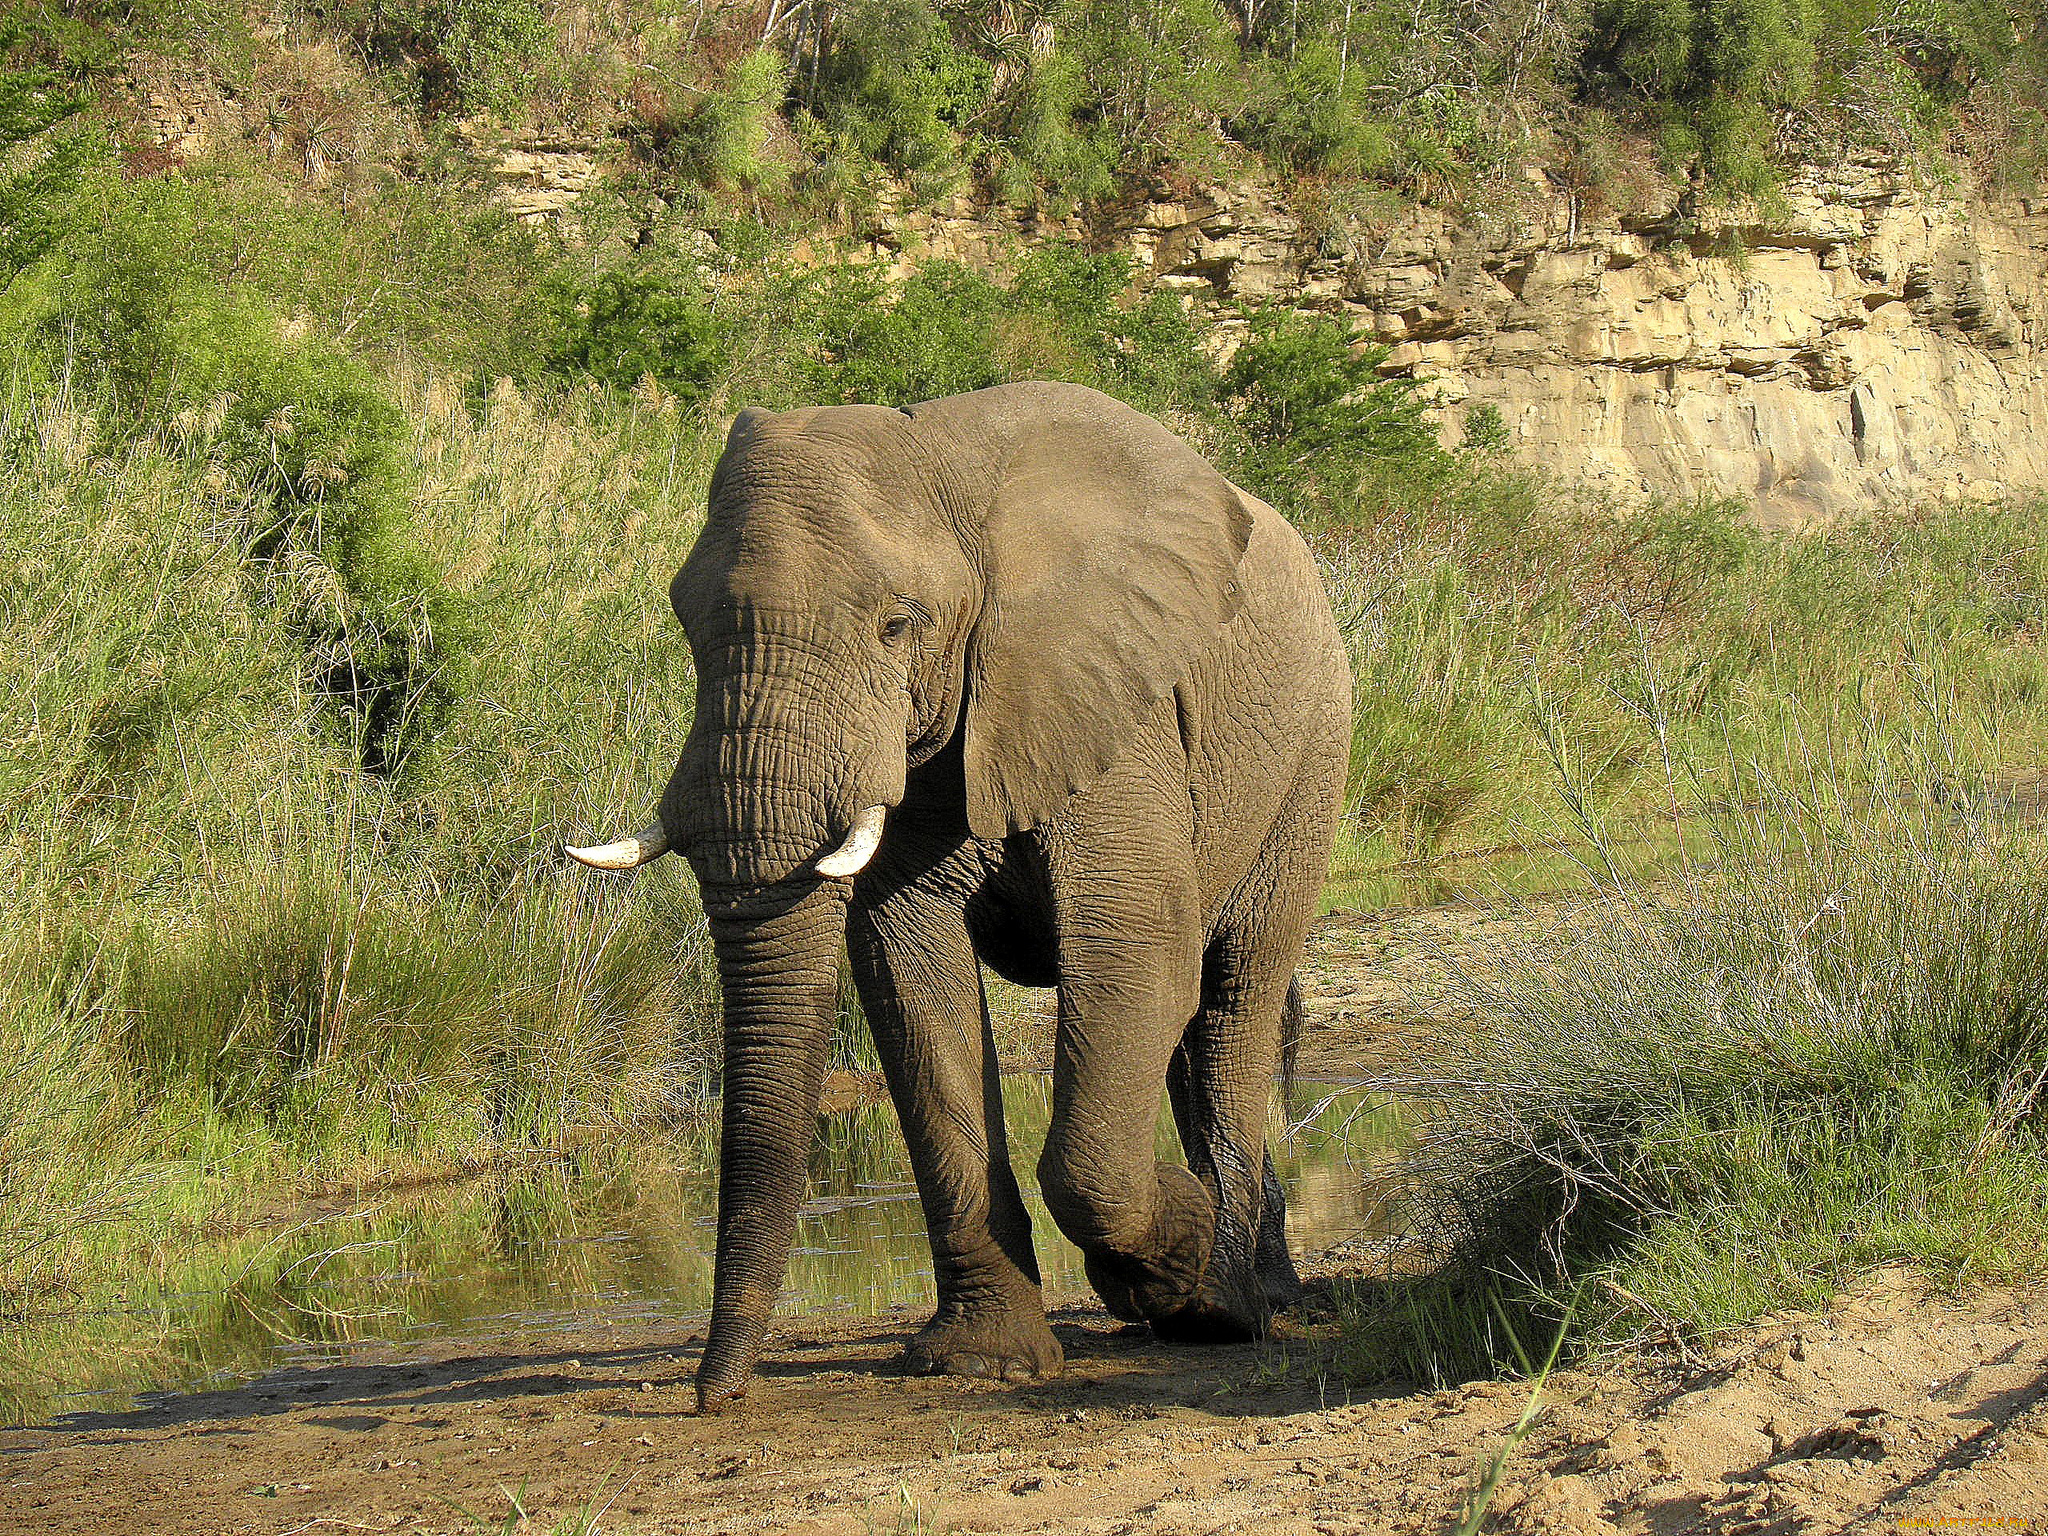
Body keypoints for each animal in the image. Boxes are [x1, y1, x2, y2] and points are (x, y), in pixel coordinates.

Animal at [569, 385, 1351, 1417]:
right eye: (685, 624)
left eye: (897, 627)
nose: (709, 1397)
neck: (941, 475)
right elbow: (911, 981)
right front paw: (984, 1364)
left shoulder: (1111, 699)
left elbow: (1134, 950)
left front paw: (1177, 1260)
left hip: (1312, 754)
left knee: (1232, 1001)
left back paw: (1242, 1303)